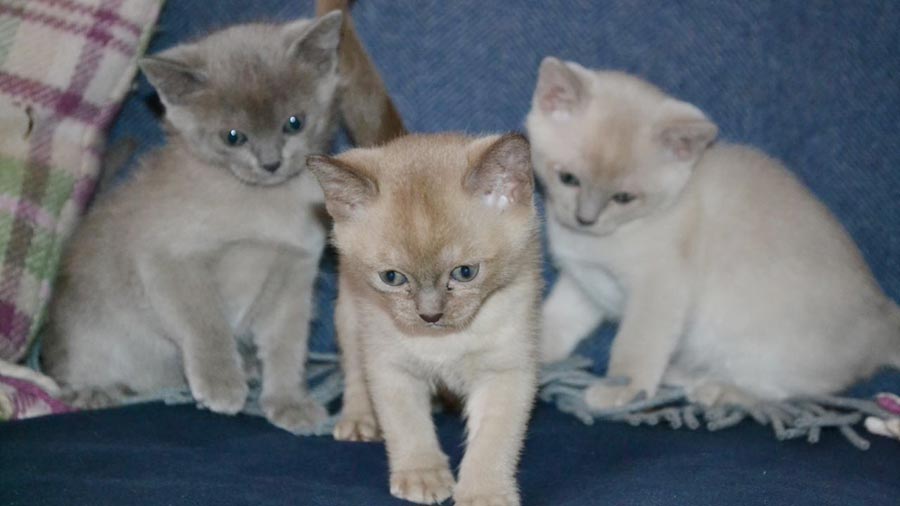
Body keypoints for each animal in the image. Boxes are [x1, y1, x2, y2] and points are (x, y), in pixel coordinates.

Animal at [308, 134, 540, 506]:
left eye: (465, 272)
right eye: (392, 277)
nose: (430, 315)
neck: (443, 342)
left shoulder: (506, 370)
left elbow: (493, 442)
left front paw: (484, 494)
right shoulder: (392, 368)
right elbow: (408, 427)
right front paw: (423, 477)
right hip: (349, 315)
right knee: (355, 370)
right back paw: (358, 421)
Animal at [524, 57, 900, 410]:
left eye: (624, 198)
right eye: (568, 179)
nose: (585, 218)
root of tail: (881, 321)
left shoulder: (659, 289)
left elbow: (636, 344)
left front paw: (623, 391)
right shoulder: (584, 283)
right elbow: (552, 322)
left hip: (756, 346)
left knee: (787, 394)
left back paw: (717, 391)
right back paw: (682, 376)